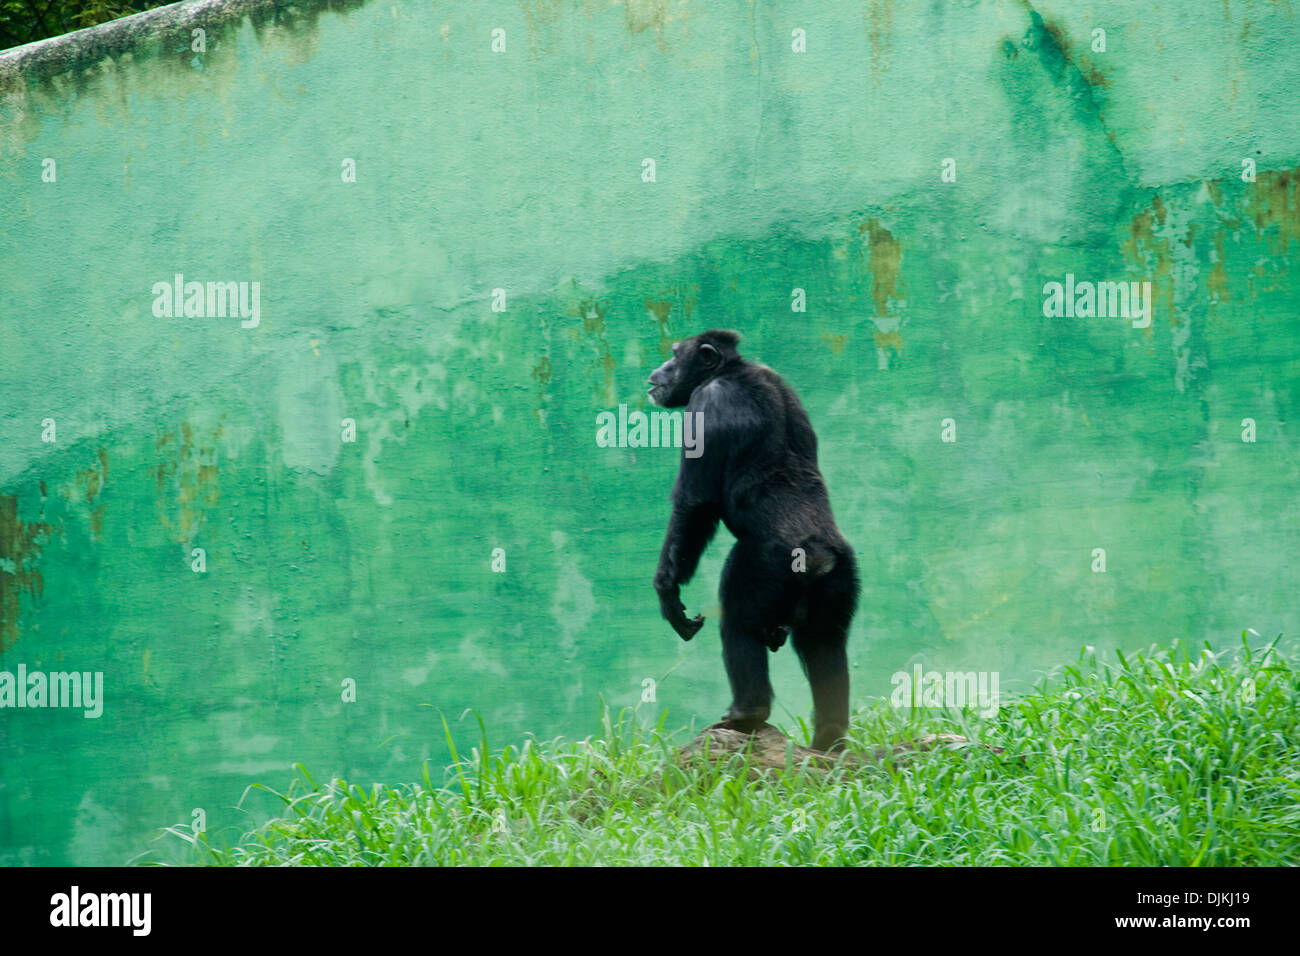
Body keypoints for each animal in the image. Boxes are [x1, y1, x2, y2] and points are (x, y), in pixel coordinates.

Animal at [644, 329, 857, 754]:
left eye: (675, 354)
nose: (660, 368)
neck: (731, 370)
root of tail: (820, 555)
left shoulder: (705, 405)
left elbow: (695, 503)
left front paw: (667, 590)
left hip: (762, 565)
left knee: (738, 618)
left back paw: (746, 712)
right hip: (840, 582)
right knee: (826, 645)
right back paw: (829, 736)